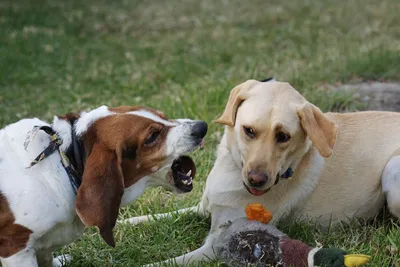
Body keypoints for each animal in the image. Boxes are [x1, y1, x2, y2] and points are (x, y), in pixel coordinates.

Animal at [0, 105, 206, 267]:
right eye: (152, 136)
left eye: (163, 116)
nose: (202, 127)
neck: (64, 160)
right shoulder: (16, 249)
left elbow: (46, 258)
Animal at [125, 79, 400, 266]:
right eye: (249, 130)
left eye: (283, 137)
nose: (257, 179)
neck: (233, 171)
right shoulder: (203, 209)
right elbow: (157, 216)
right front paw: (125, 222)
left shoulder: (215, 245)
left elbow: (161, 264)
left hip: (392, 170)